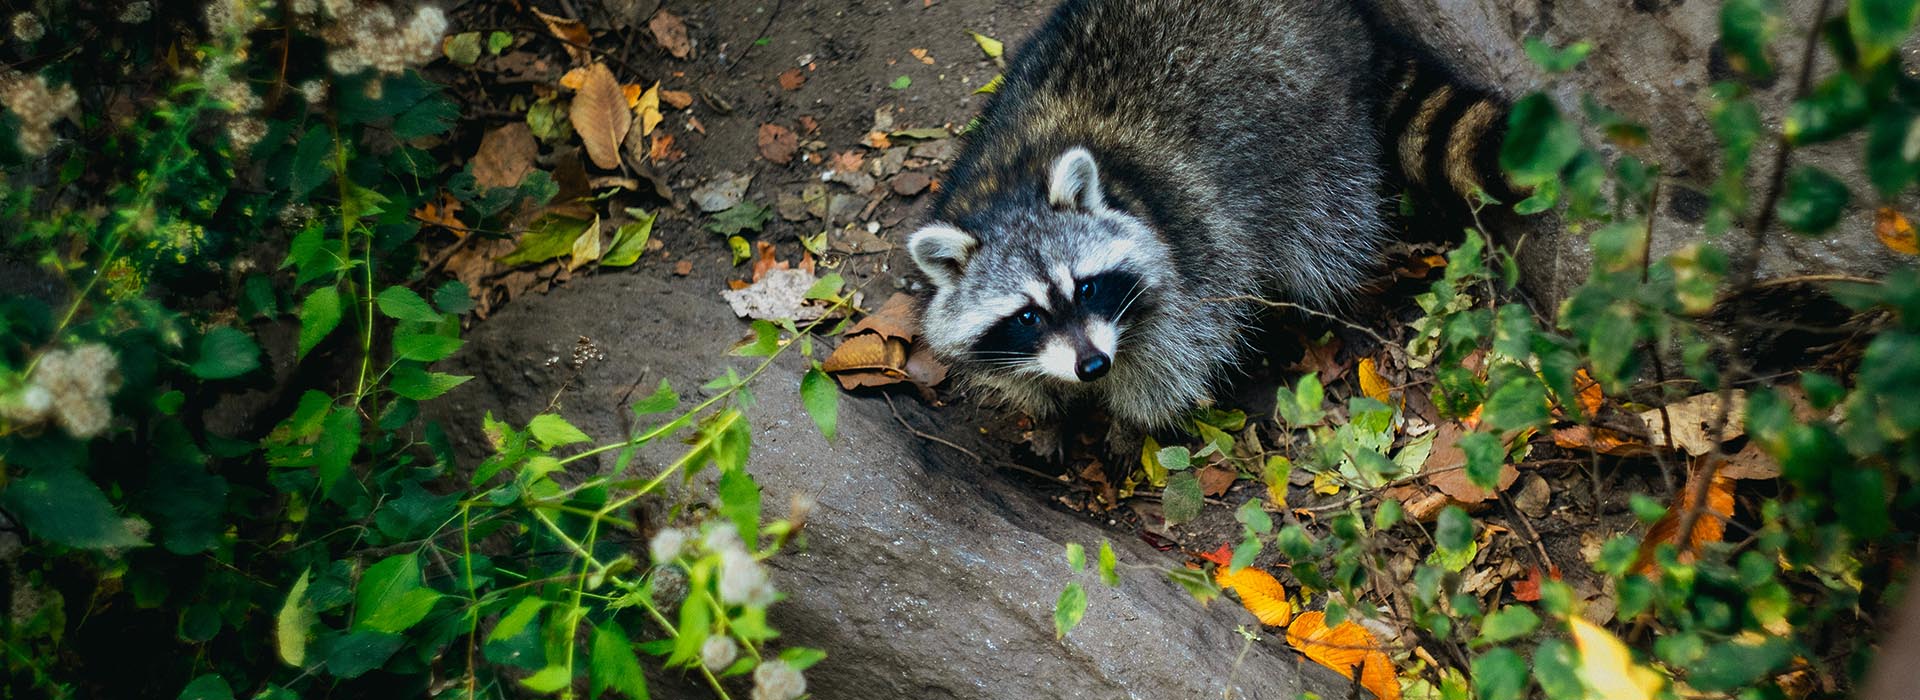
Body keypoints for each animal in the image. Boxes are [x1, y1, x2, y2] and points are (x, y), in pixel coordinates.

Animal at [906, 0, 1505, 458]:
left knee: (1326, 233)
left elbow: (1177, 358)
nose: (1094, 365)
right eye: (1027, 315)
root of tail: (1346, 22)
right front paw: (1048, 414)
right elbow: (1011, 371)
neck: (1009, 186)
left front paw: (1131, 426)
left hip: (1319, 138)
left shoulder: (1194, 251)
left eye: (1088, 287)